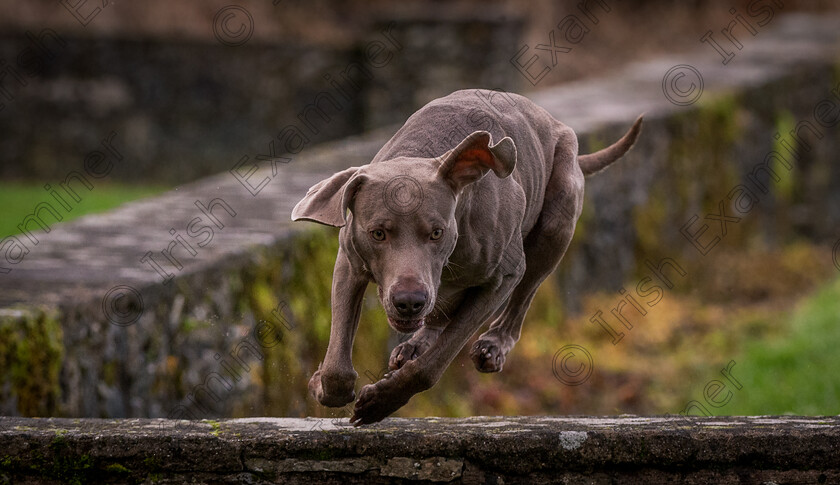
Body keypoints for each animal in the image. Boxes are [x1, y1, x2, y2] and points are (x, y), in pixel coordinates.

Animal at [292, 88, 640, 424]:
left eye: (437, 232)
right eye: (378, 233)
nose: (409, 301)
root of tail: (555, 122)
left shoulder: (503, 276)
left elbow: (433, 364)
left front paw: (380, 402)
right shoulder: (349, 261)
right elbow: (338, 361)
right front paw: (323, 385)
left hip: (557, 215)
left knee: (524, 295)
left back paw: (493, 344)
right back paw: (416, 344)